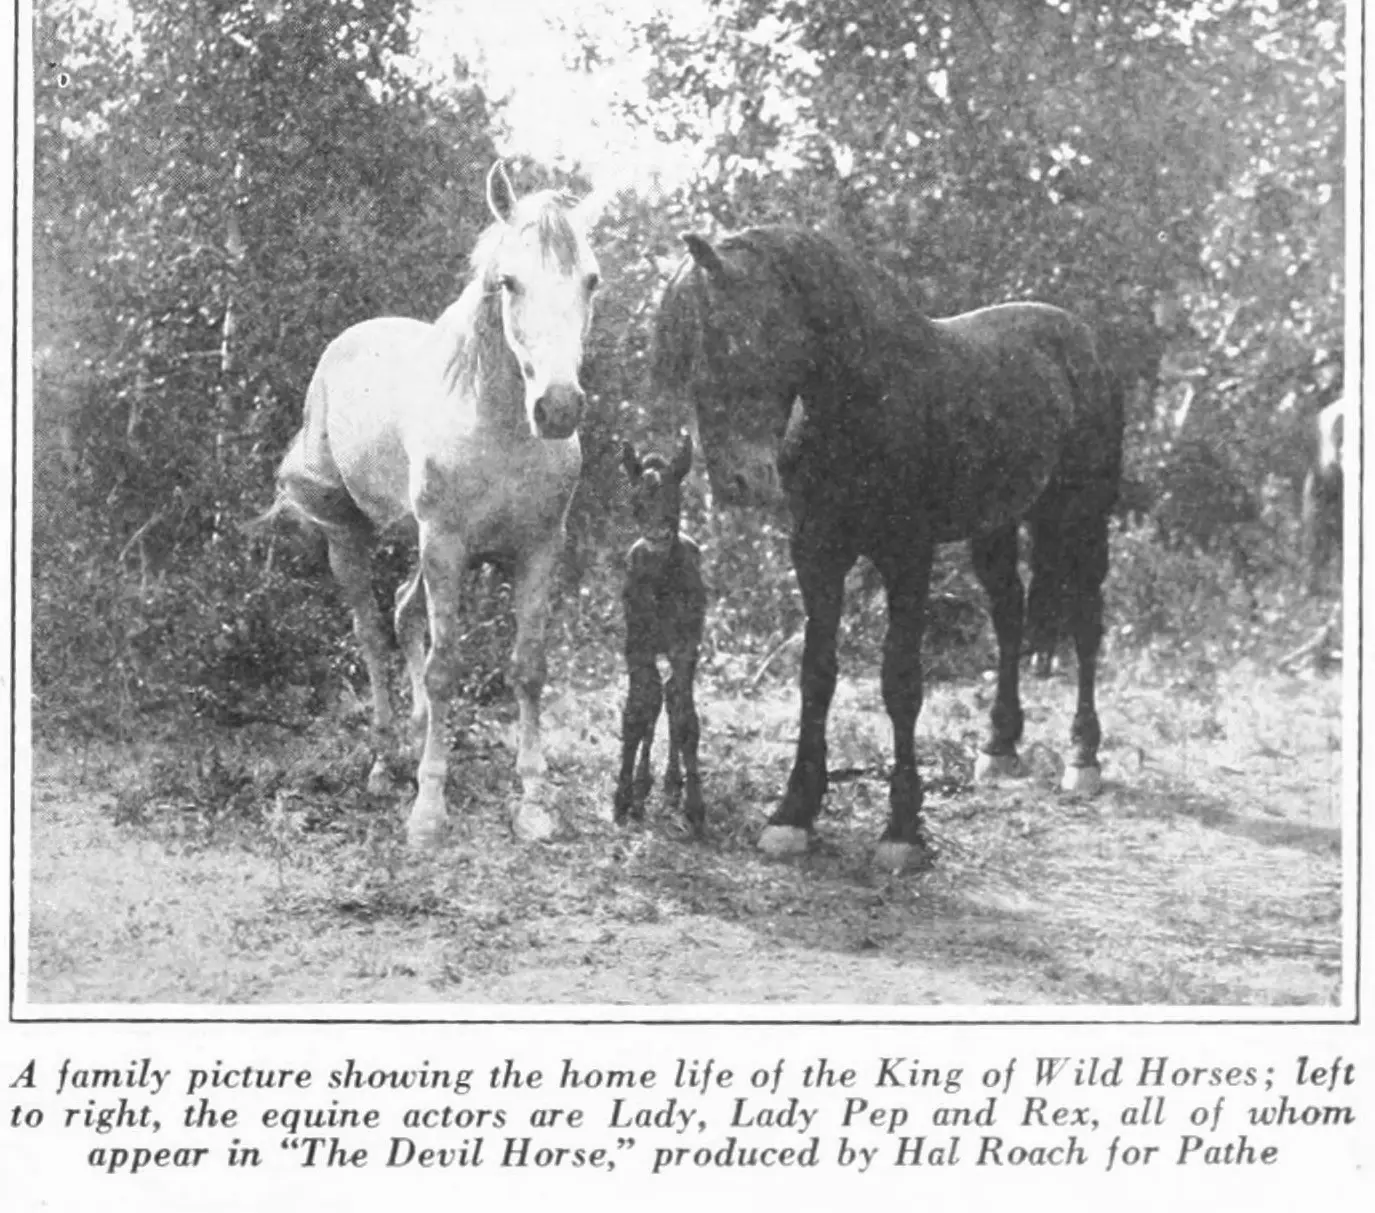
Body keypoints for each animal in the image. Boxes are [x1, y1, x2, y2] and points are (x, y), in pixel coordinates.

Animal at [258, 161, 601, 846]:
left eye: (591, 280)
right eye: (509, 281)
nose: (557, 408)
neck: (498, 427)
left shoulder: (536, 548)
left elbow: (528, 667)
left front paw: (533, 801)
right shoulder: (445, 543)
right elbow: (446, 668)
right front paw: (429, 807)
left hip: (424, 546)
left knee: (401, 609)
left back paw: (415, 733)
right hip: (353, 537)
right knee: (370, 630)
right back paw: (386, 759)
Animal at [651, 226, 1123, 870]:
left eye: (734, 336)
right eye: (684, 357)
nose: (737, 482)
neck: (864, 398)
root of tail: (1080, 337)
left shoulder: (907, 558)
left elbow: (901, 683)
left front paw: (901, 828)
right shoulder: (817, 554)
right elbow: (816, 676)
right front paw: (793, 814)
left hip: (1080, 519)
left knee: (1084, 624)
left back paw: (1082, 758)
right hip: (995, 527)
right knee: (1009, 614)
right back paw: (999, 746)